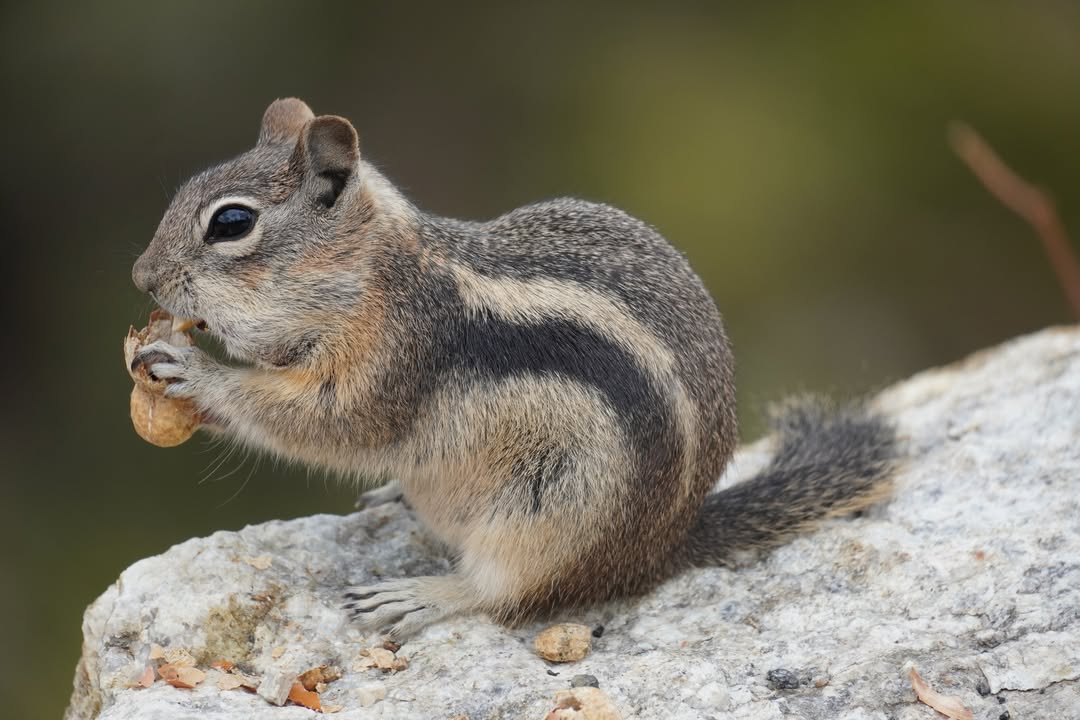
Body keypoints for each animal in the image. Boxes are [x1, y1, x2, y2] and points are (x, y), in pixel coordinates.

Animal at [131, 98, 898, 638]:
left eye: (231, 223)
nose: (141, 276)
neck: (377, 274)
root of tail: (660, 549)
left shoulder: (393, 359)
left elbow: (328, 423)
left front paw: (195, 370)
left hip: (552, 512)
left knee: (507, 590)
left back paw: (422, 594)